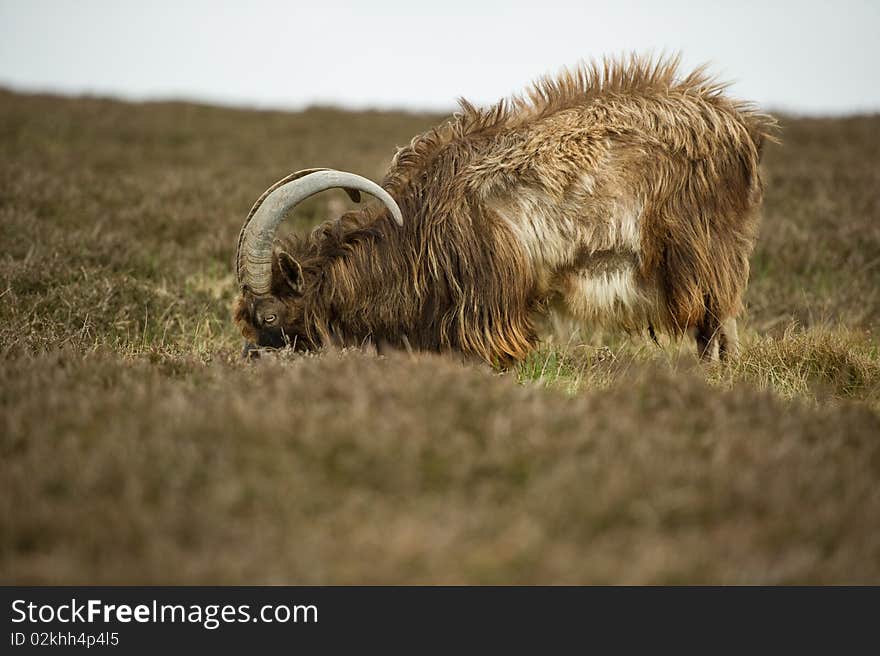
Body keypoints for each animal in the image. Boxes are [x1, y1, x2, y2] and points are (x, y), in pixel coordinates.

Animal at [235, 54, 776, 366]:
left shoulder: (488, 295)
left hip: (698, 249)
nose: (251, 360)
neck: (416, 225)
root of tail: (742, 130)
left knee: (715, 322)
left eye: (269, 314)